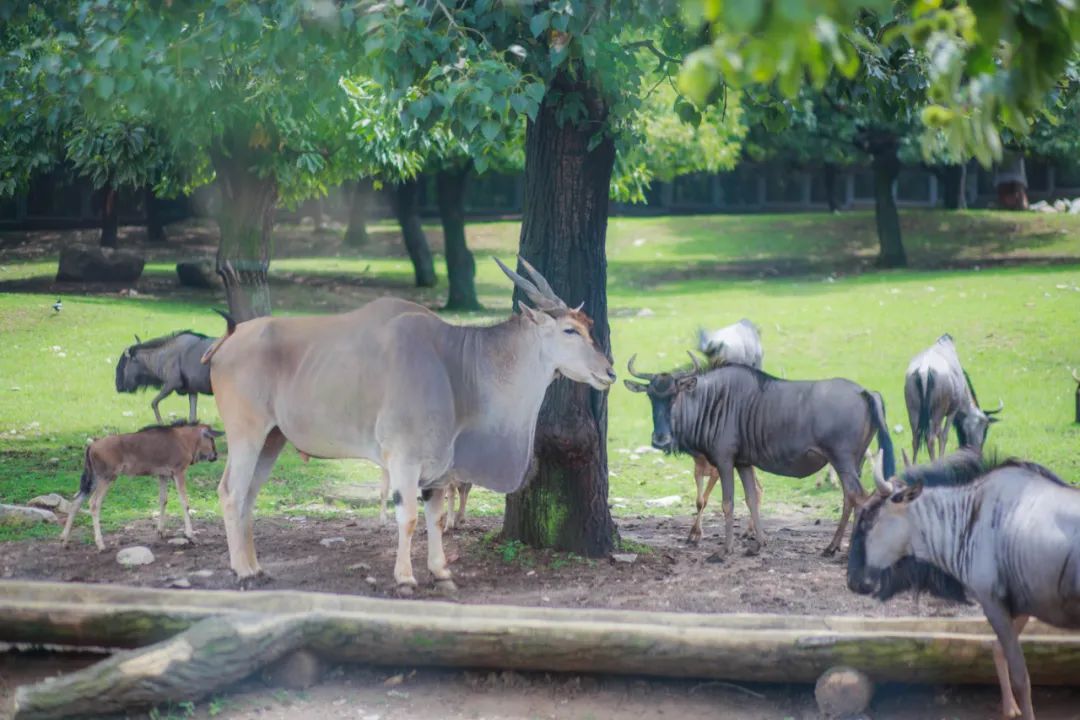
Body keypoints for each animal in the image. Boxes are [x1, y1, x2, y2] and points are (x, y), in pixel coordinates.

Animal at [61, 423, 223, 552]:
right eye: (211, 438)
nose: (215, 455)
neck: (184, 439)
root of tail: (92, 446)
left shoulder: (163, 475)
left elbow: (163, 500)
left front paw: (161, 531)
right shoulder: (179, 472)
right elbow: (185, 503)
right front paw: (190, 535)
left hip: (93, 479)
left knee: (76, 501)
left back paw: (64, 539)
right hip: (106, 478)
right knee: (94, 503)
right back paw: (100, 544)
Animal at [204, 255, 617, 595]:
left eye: (589, 326)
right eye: (570, 330)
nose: (609, 371)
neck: (456, 364)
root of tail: (227, 339)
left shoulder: (438, 468)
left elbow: (436, 518)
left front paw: (441, 574)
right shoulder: (404, 459)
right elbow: (409, 517)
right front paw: (404, 579)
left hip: (272, 439)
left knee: (248, 496)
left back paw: (257, 568)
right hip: (246, 434)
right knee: (231, 492)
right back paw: (243, 572)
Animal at [626, 360, 894, 557]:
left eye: (674, 395)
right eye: (651, 396)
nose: (660, 440)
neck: (713, 401)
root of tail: (864, 391)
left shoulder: (724, 461)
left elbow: (727, 503)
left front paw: (725, 550)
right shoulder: (744, 463)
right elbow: (751, 499)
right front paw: (758, 544)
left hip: (843, 461)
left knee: (859, 496)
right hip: (854, 463)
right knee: (850, 497)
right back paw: (831, 547)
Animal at [902, 332, 1002, 462]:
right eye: (986, 429)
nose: (977, 453)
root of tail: (924, 370)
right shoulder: (952, 411)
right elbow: (944, 436)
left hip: (913, 411)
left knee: (916, 438)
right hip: (937, 412)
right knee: (931, 438)